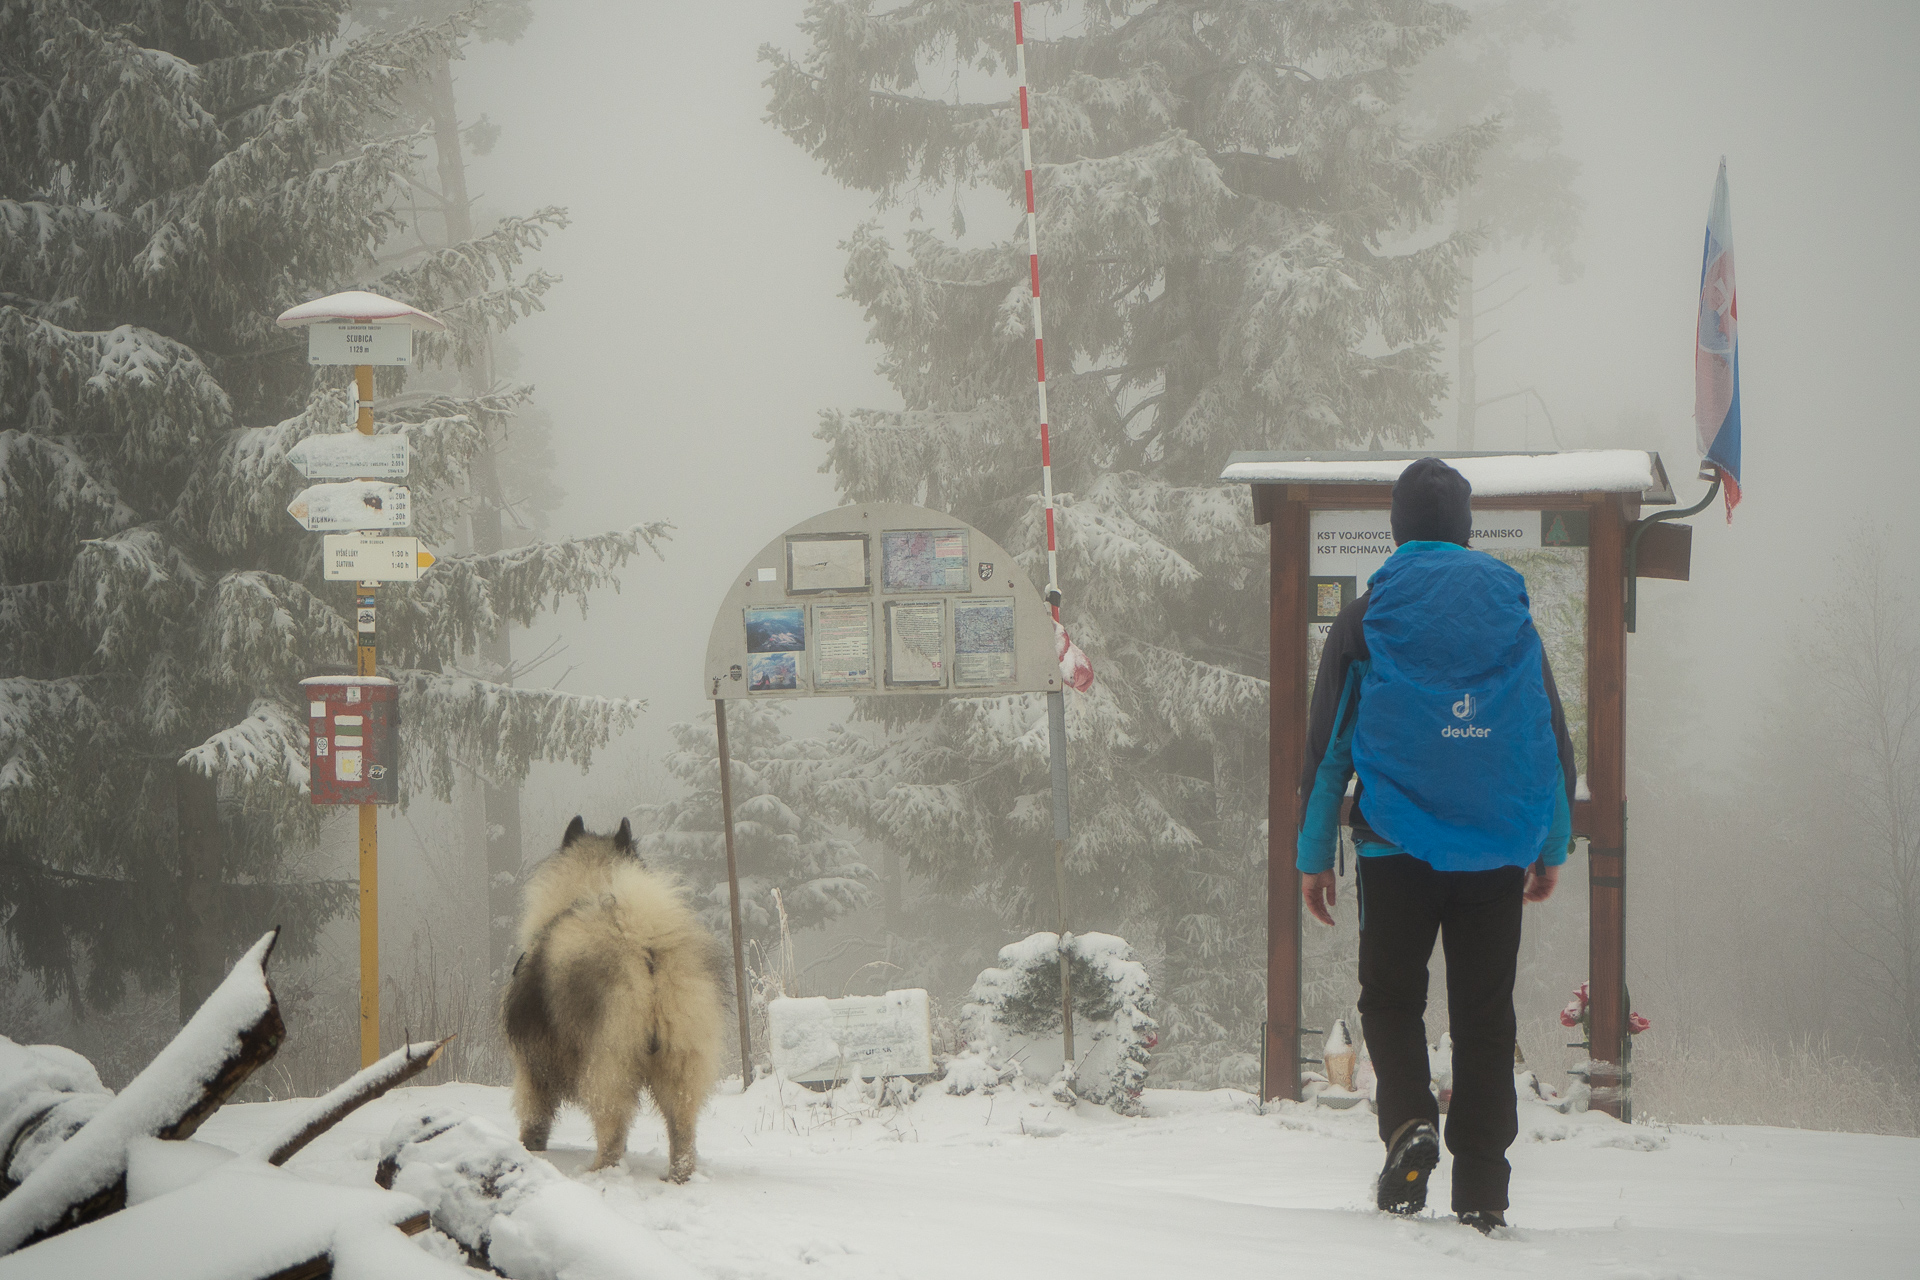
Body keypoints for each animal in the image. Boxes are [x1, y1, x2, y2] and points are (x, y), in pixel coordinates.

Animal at [503, 821, 725, 1182]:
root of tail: (643, 943)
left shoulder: (531, 1065)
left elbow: (534, 1115)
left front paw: (529, 1147)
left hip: (607, 1063)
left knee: (611, 1129)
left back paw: (598, 1172)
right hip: (679, 1061)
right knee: (682, 1128)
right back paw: (678, 1176)